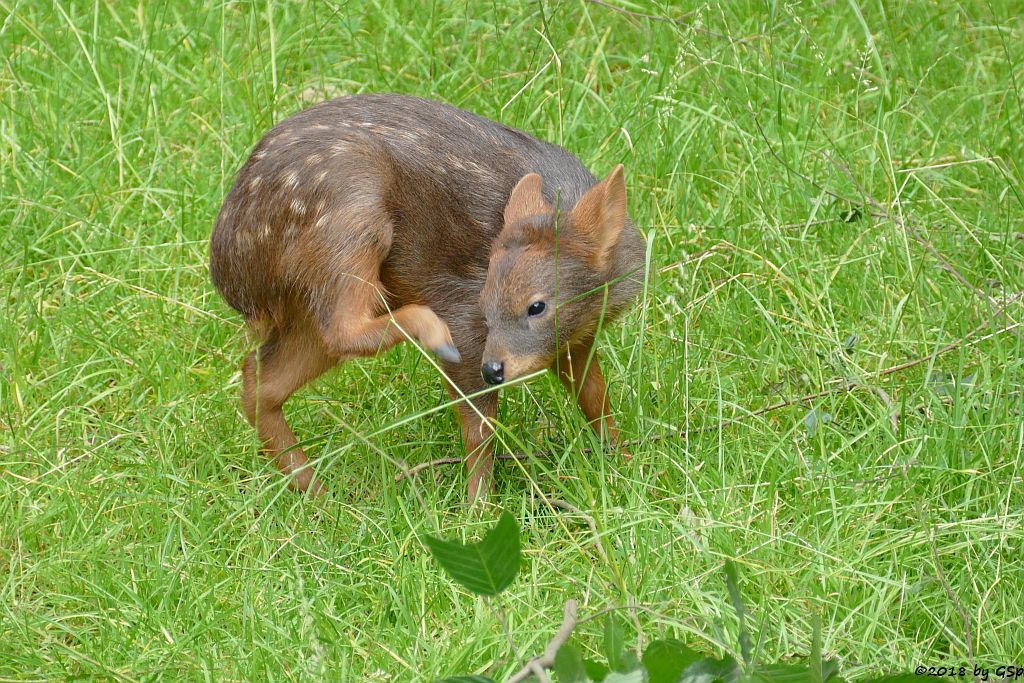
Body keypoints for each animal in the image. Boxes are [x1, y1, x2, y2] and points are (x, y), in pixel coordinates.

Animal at [210, 93, 643, 499]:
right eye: (485, 304)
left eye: (537, 306)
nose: (494, 370)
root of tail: (227, 264)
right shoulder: (464, 314)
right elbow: (479, 428)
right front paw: (478, 508)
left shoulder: (577, 337)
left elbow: (595, 397)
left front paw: (624, 463)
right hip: (348, 211)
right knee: (341, 329)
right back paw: (431, 336)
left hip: (304, 302)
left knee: (260, 377)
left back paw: (317, 493)